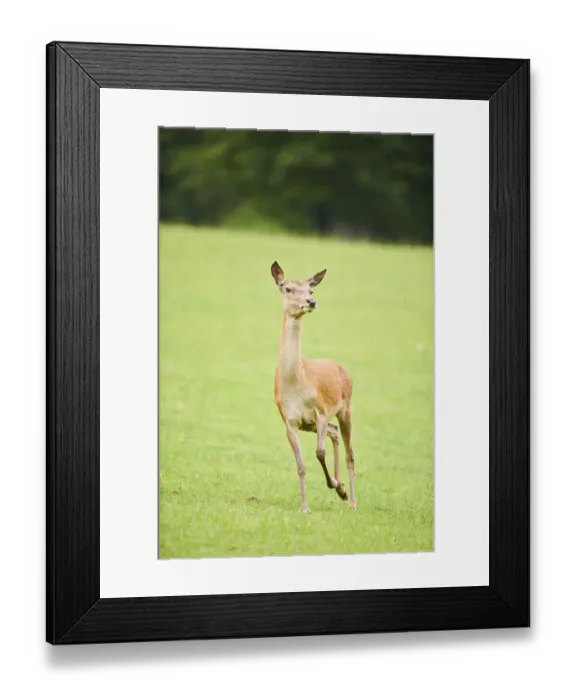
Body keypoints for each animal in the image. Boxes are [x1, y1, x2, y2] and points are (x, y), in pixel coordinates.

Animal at [271, 261, 358, 514]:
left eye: (311, 290)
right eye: (288, 288)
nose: (311, 302)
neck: (295, 384)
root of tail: (342, 368)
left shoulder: (320, 411)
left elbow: (319, 452)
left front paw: (337, 487)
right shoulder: (289, 421)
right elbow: (300, 465)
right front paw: (304, 508)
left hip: (345, 407)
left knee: (350, 452)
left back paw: (351, 500)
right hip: (313, 423)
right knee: (335, 432)